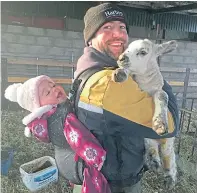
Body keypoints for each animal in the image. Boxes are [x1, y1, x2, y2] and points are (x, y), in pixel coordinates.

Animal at [113, 38, 178, 189]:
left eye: (143, 52)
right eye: (127, 48)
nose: (122, 58)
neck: (144, 83)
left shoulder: (157, 89)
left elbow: (163, 95)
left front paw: (160, 123)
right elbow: (128, 73)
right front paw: (121, 73)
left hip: (169, 141)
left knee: (168, 154)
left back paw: (169, 177)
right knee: (150, 143)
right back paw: (153, 160)